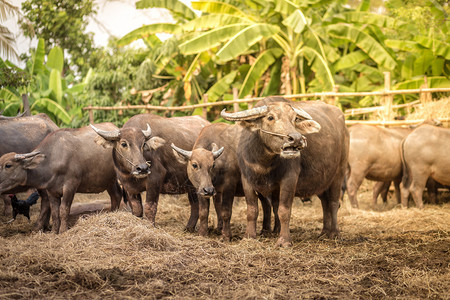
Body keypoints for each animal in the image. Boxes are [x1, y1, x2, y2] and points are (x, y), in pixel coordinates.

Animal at [221, 96, 348, 246]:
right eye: (270, 117)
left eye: (294, 119)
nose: (296, 139)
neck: (263, 162)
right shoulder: (247, 179)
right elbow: (252, 210)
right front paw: (249, 236)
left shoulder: (290, 179)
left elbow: (284, 210)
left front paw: (284, 240)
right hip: (322, 180)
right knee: (325, 202)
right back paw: (324, 232)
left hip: (339, 172)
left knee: (334, 202)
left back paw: (334, 233)